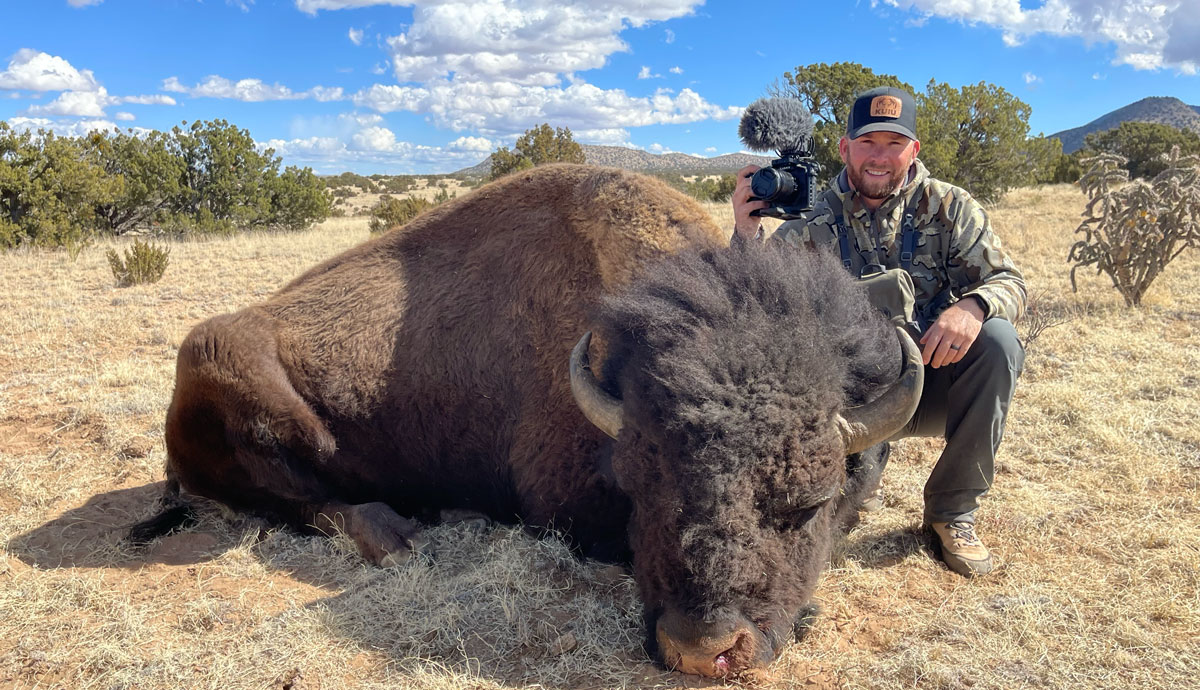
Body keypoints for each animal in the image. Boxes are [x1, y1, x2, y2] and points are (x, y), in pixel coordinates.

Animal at [133, 164, 916, 676]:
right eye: (640, 488)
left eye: (809, 501)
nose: (702, 650)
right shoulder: (561, 504)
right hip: (235, 381)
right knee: (301, 500)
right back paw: (401, 535)